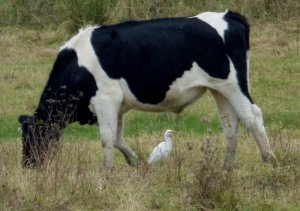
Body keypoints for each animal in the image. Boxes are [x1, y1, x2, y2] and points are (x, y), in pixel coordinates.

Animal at [18, 10, 276, 170]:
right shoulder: (117, 105)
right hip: (219, 89)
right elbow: (118, 138)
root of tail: (228, 15)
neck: (78, 65)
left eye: (31, 137)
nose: (27, 166)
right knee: (230, 123)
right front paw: (135, 162)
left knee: (252, 117)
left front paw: (106, 171)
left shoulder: (106, 100)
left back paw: (270, 160)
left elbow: (106, 138)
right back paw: (227, 167)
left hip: (233, 84)